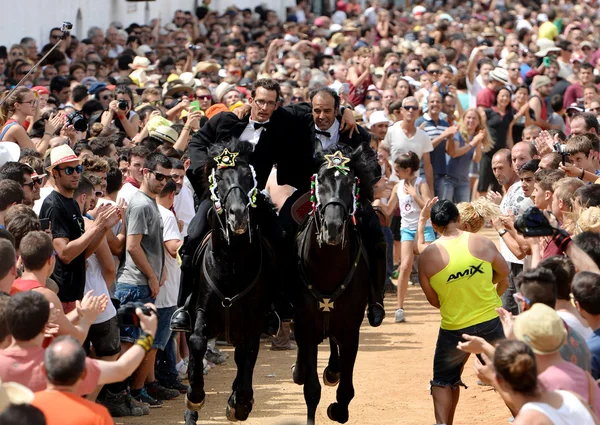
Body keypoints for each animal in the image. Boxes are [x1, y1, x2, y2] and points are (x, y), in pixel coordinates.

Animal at [184, 138, 276, 420]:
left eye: (248, 177)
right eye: (219, 178)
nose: (238, 215)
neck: (231, 265)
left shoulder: (253, 325)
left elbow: (248, 358)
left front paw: (240, 403)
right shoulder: (201, 312)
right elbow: (196, 343)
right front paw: (195, 394)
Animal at [290, 143, 376, 424]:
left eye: (350, 182)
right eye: (320, 180)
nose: (334, 228)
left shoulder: (351, 331)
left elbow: (346, 389)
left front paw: (337, 408)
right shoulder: (306, 327)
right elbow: (311, 389)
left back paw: (332, 370)